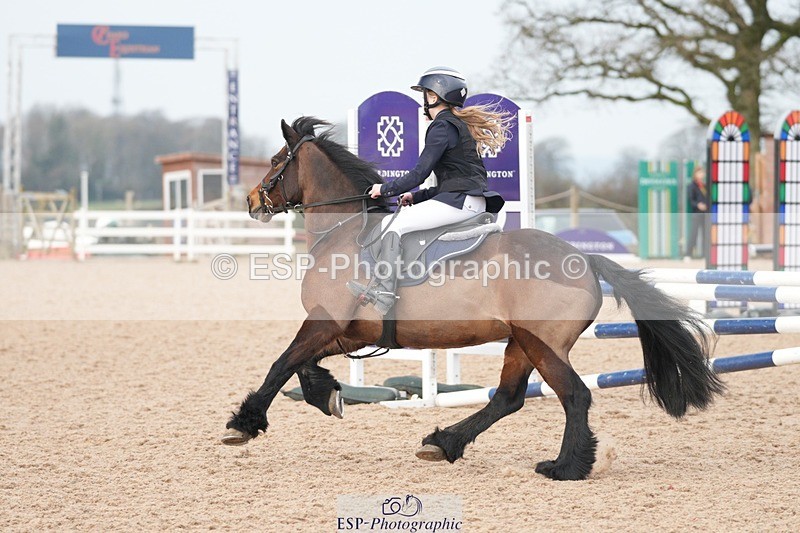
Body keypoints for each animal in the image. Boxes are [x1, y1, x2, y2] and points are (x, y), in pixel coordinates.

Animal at [222, 116, 725, 481]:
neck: (344, 233)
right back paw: (444, 443)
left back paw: (565, 468)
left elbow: (282, 363)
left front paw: (245, 423)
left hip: (542, 345)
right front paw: (327, 393)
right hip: (520, 344)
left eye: (276, 160)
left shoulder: (324, 321)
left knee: (574, 395)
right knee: (508, 398)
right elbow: (301, 365)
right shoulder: (346, 330)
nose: (251, 201)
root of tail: (585, 258)